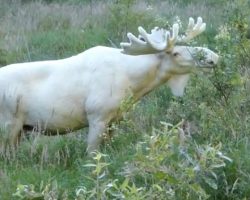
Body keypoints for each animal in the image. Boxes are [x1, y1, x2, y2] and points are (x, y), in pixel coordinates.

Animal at [0, 17, 219, 153]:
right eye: (176, 53)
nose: (213, 57)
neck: (134, 83)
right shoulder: (97, 116)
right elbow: (92, 154)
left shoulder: (115, 119)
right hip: (9, 124)